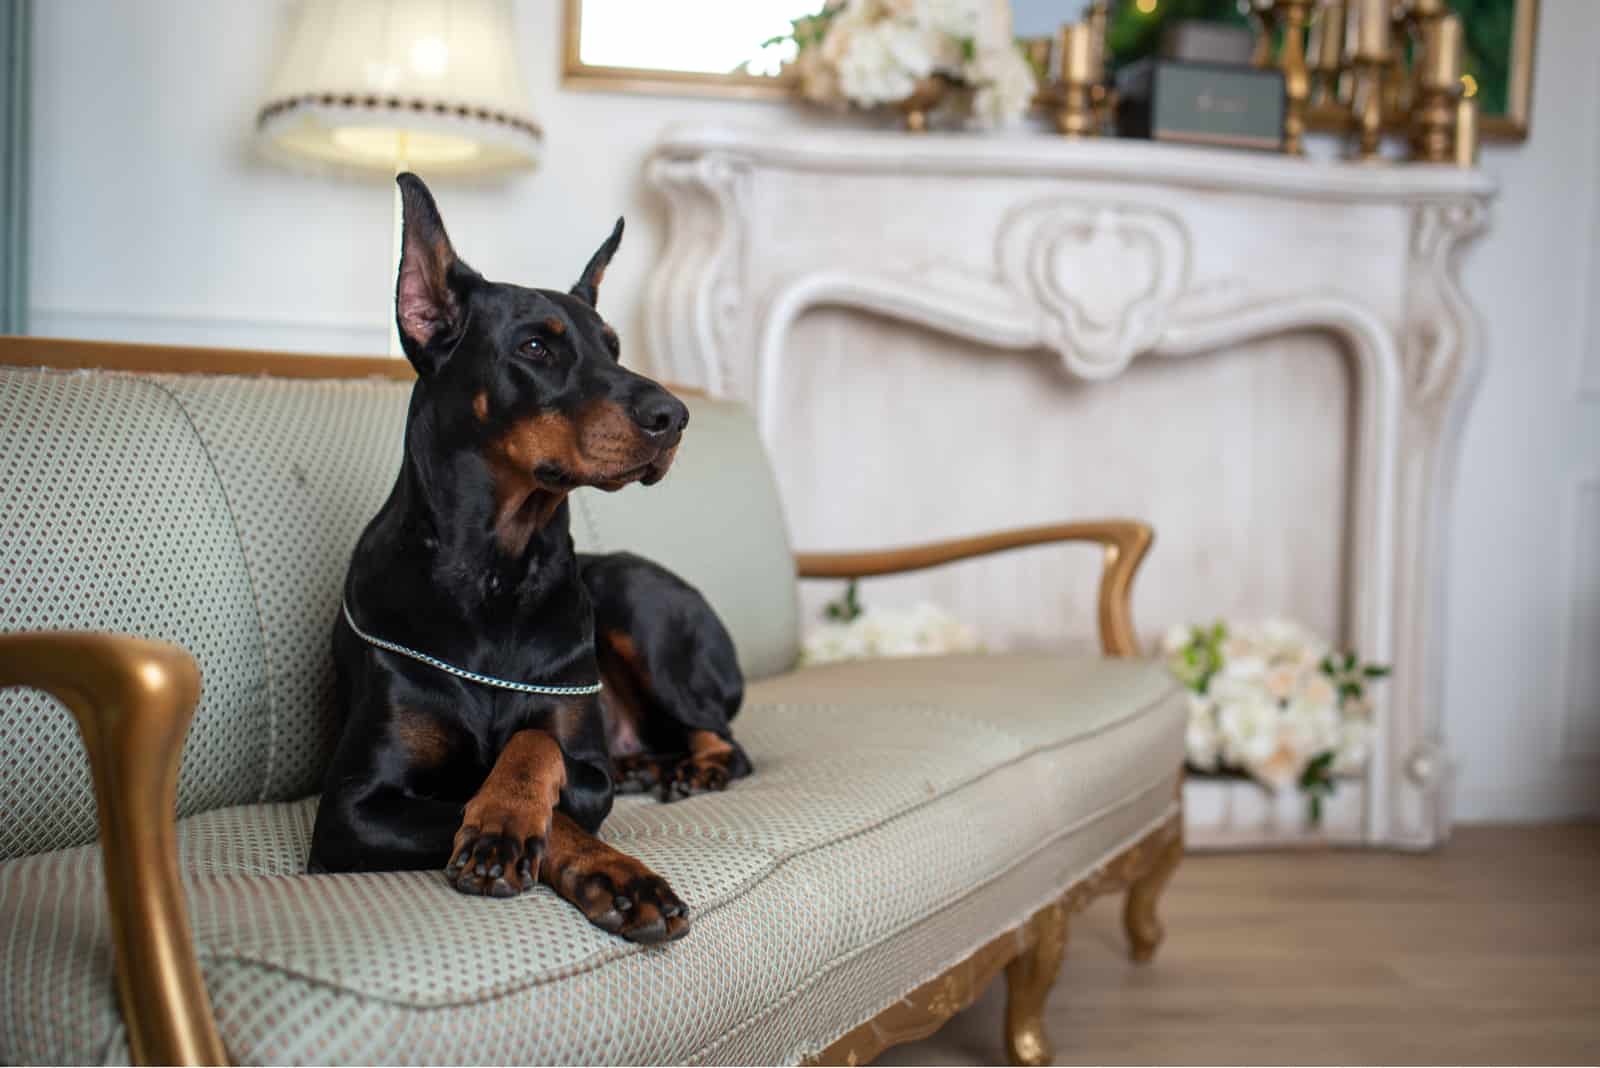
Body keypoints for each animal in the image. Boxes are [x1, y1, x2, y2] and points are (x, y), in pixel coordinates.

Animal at [316, 173, 755, 940]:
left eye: (614, 345)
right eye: (534, 347)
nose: (675, 417)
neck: (496, 572)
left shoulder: (587, 769)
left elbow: (534, 748)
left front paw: (537, 835)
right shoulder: (351, 809)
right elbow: (477, 805)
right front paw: (516, 841)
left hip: (636, 601)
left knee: (727, 737)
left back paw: (693, 768)